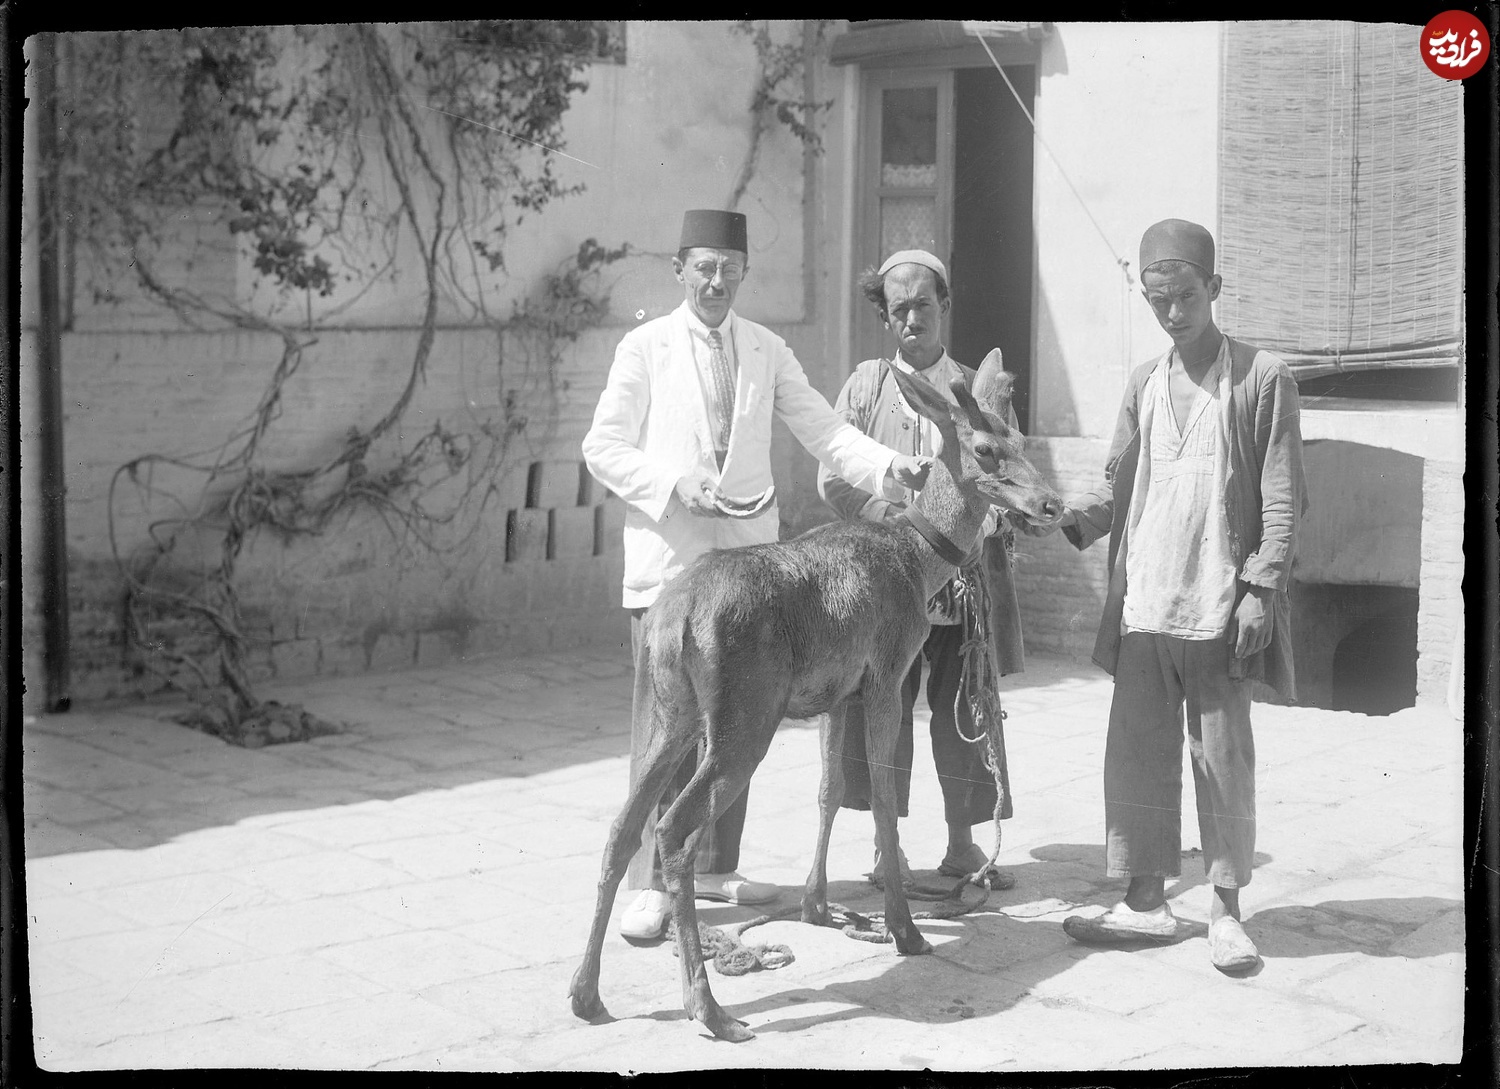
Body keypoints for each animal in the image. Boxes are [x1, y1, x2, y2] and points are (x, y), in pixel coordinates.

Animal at [564, 354, 1068, 1044]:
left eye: (1020, 439)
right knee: (673, 831)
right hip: (744, 716)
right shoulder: (885, 671)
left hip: (673, 713)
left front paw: (817, 906)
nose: (1053, 503)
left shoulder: (834, 694)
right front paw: (905, 929)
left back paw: (586, 994)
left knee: (623, 825)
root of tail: (676, 619)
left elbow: (830, 791)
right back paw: (709, 1008)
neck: (918, 562)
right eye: (987, 449)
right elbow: (882, 797)